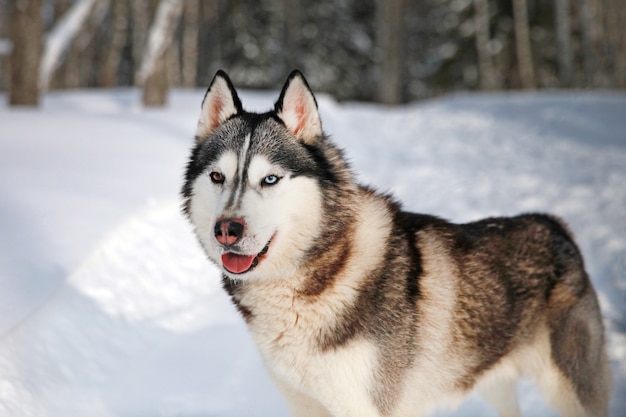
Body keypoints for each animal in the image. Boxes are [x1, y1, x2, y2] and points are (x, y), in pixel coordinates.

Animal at [182, 70, 608, 416]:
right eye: (218, 177)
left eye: (269, 179)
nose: (226, 230)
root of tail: (553, 224)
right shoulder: (304, 405)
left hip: (569, 389)